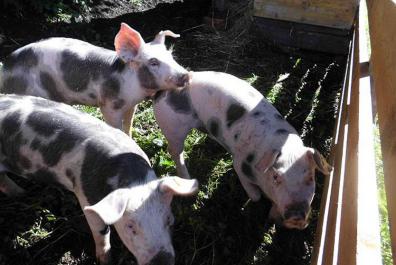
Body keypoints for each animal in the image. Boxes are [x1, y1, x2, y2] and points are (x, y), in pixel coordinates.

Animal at [0, 23, 192, 134]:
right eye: (153, 62)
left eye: (171, 55)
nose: (186, 74)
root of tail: (5, 69)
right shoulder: (109, 106)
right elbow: (116, 126)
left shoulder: (132, 105)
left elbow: (128, 124)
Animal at [0, 94, 198, 262]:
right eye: (130, 226)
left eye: (169, 219)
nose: (161, 261)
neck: (133, 181)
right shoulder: (85, 194)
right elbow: (101, 232)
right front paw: (105, 260)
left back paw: (22, 193)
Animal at [153, 70, 332, 229]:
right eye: (276, 177)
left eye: (310, 178)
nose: (296, 216)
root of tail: (163, 90)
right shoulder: (238, 163)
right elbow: (255, 196)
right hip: (172, 127)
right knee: (175, 151)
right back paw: (187, 180)